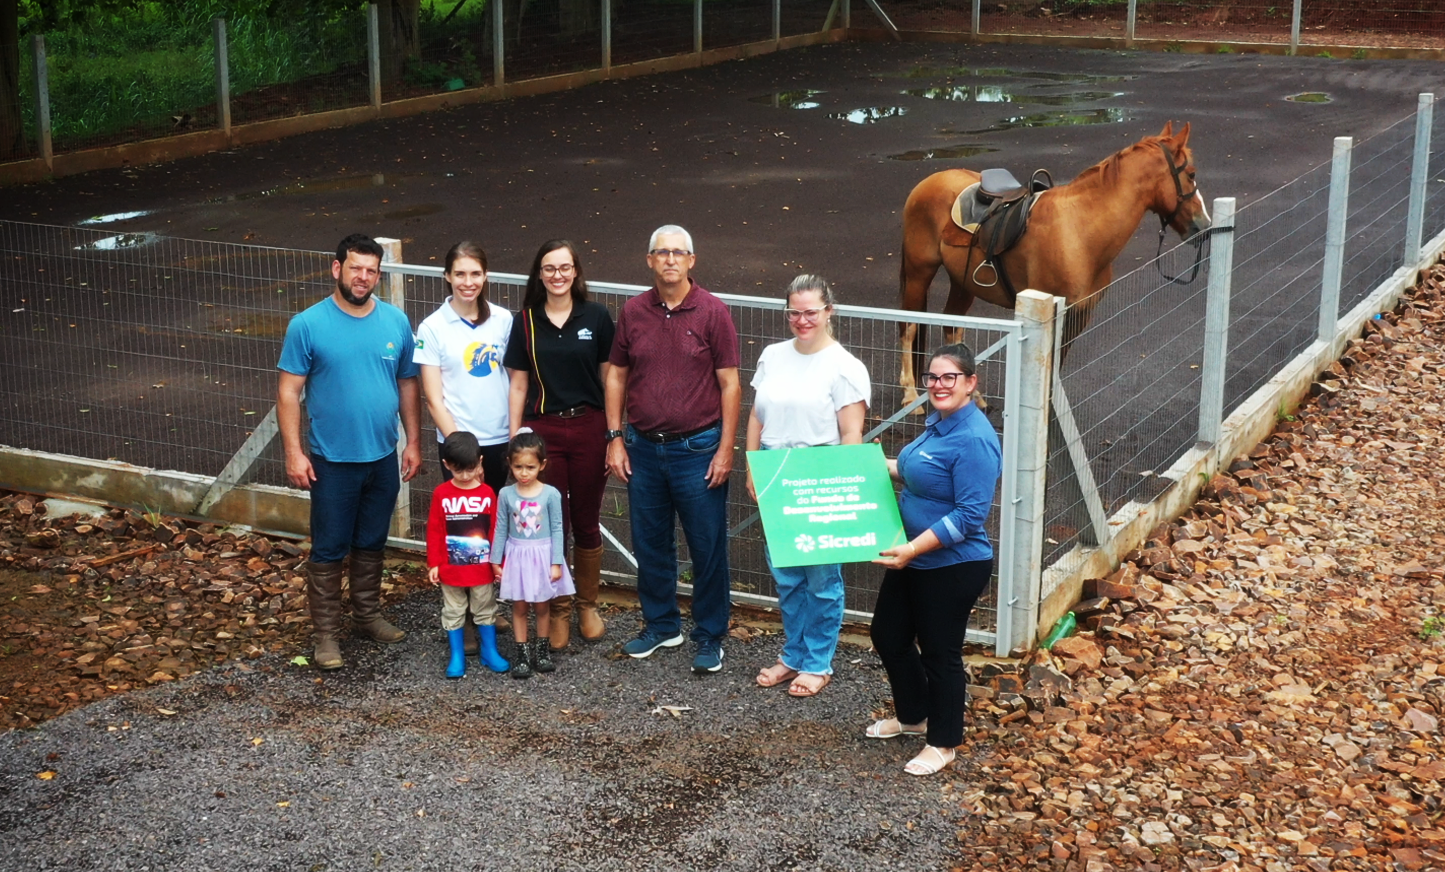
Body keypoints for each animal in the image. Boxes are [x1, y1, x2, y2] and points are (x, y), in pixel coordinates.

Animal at [895, 122, 1213, 404]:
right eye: (1192, 174)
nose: (1204, 226)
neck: (1080, 229)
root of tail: (928, 182)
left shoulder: (1080, 314)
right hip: (919, 272)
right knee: (908, 327)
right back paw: (910, 394)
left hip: (962, 282)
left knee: (952, 325)